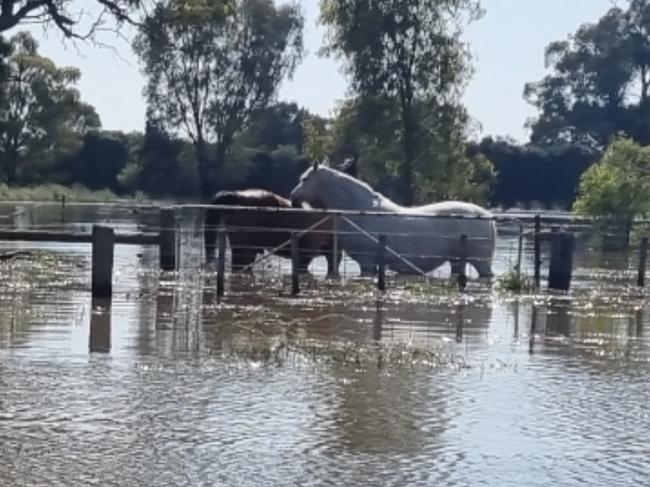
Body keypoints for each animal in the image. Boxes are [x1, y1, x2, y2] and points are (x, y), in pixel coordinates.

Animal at [290, 162, 496, 278]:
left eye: (305, 179)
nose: (292, 197)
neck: (361, 209)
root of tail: (488, 217)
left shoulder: (367, 262)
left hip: (481, 262)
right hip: (457, 262)